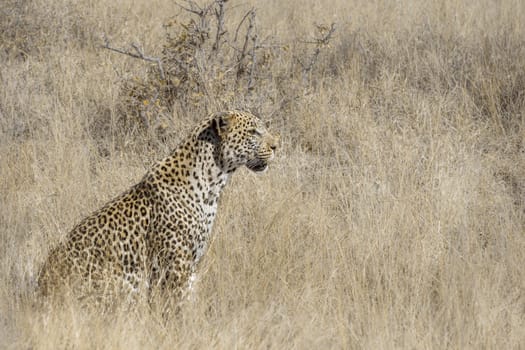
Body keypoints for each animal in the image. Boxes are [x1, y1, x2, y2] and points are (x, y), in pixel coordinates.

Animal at [36, 110, 278, 306]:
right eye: (254, 132)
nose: (277, 146)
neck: (214, 182)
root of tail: (40, 290)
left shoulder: (190, 264)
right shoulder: (176, 264)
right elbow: (175, 307)